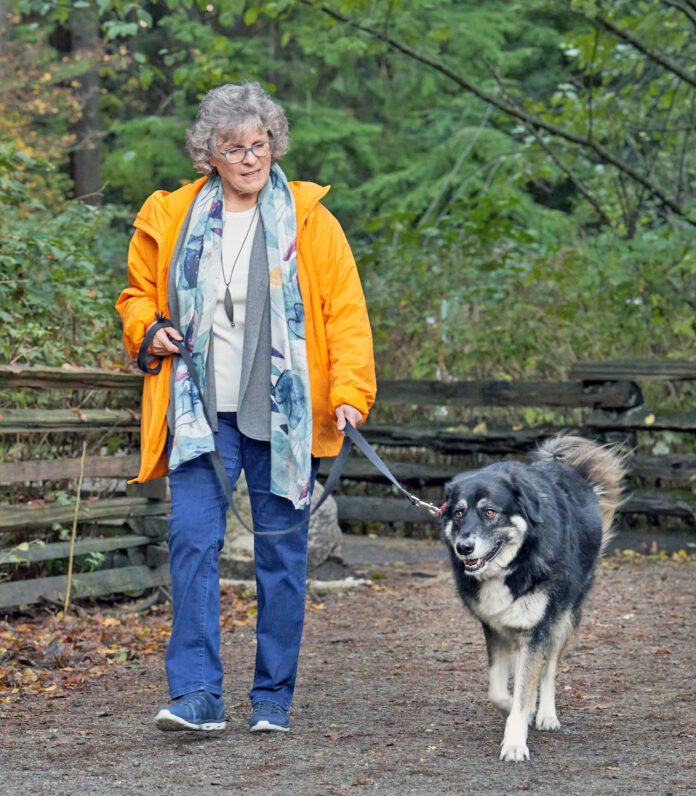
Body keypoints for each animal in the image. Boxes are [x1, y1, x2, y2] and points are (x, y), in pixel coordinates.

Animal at [440, 438, 624, 760]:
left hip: (563, 619)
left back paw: (547, 714)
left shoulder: (536, 629)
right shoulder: (494, 627)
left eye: (490, 512)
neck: (516, 561)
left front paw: (515, 741)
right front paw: (516, 710)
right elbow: (500, 690)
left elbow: (529, 685)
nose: (464, 547)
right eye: (459, 513)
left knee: (549, 671)